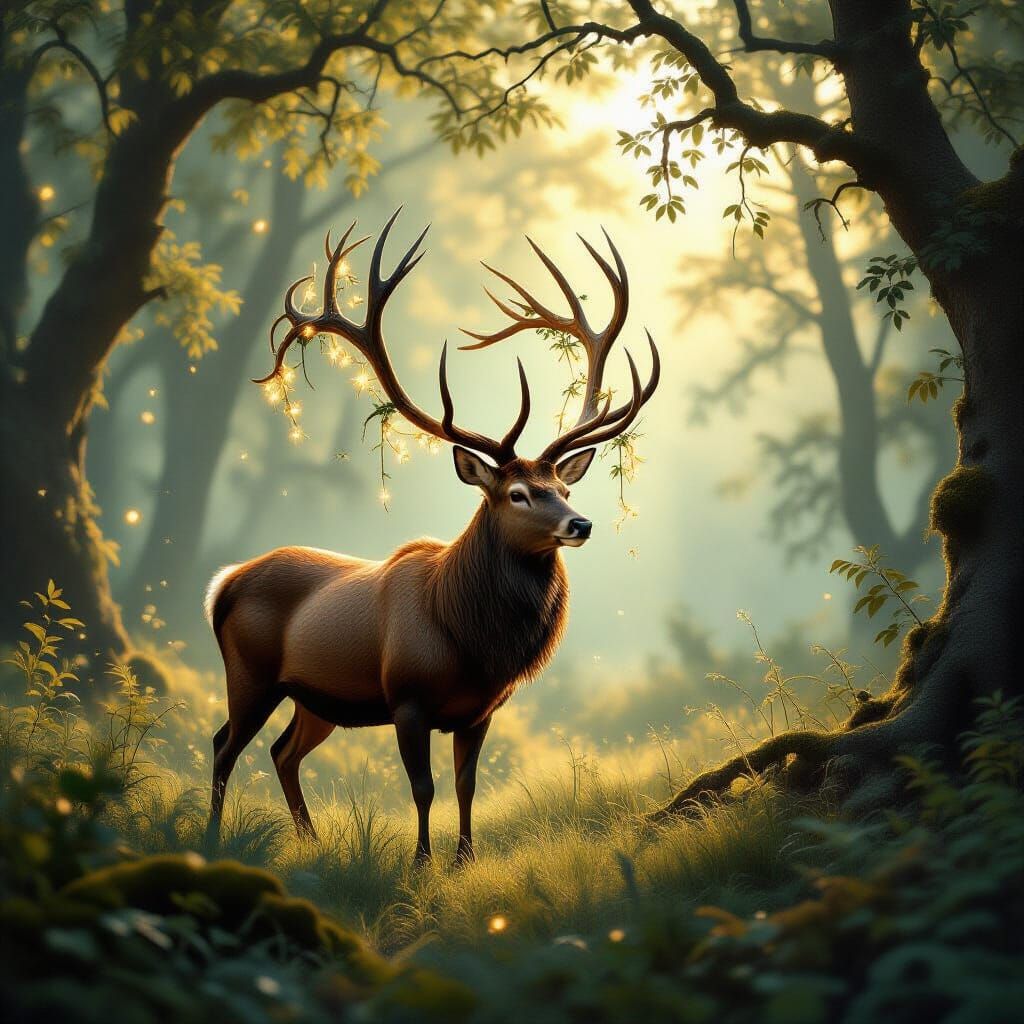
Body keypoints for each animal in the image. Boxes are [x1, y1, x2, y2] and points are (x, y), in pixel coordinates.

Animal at [204, 209, 659, 865]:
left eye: (563, 488)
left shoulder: (479, 710)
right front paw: (421, 862)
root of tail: (222, 584)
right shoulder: (408, 699)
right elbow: (423, 787)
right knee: (224, 744)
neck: (468, 637)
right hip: (251, 673)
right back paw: (213, 838)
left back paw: (310, 842)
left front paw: (465, 857)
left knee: (281, 752)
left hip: (316, 700)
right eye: (517, 493)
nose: (581, 524)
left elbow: (467, 786)